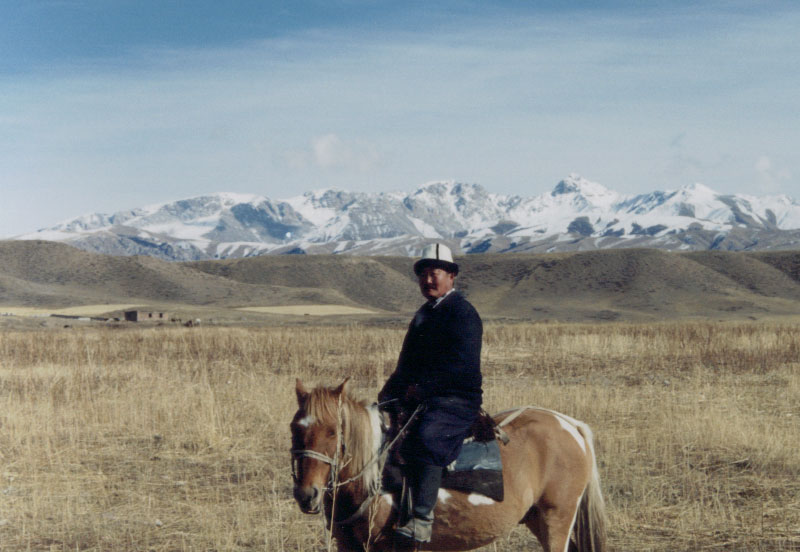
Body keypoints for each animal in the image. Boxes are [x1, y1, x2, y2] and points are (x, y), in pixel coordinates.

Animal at [290, 380, 608, 552]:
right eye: (294, 428)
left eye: (333, 432)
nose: (307, 494)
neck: (373, 476)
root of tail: (569, 423)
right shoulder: (348, 545)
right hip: (537, 518)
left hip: (558, 518)